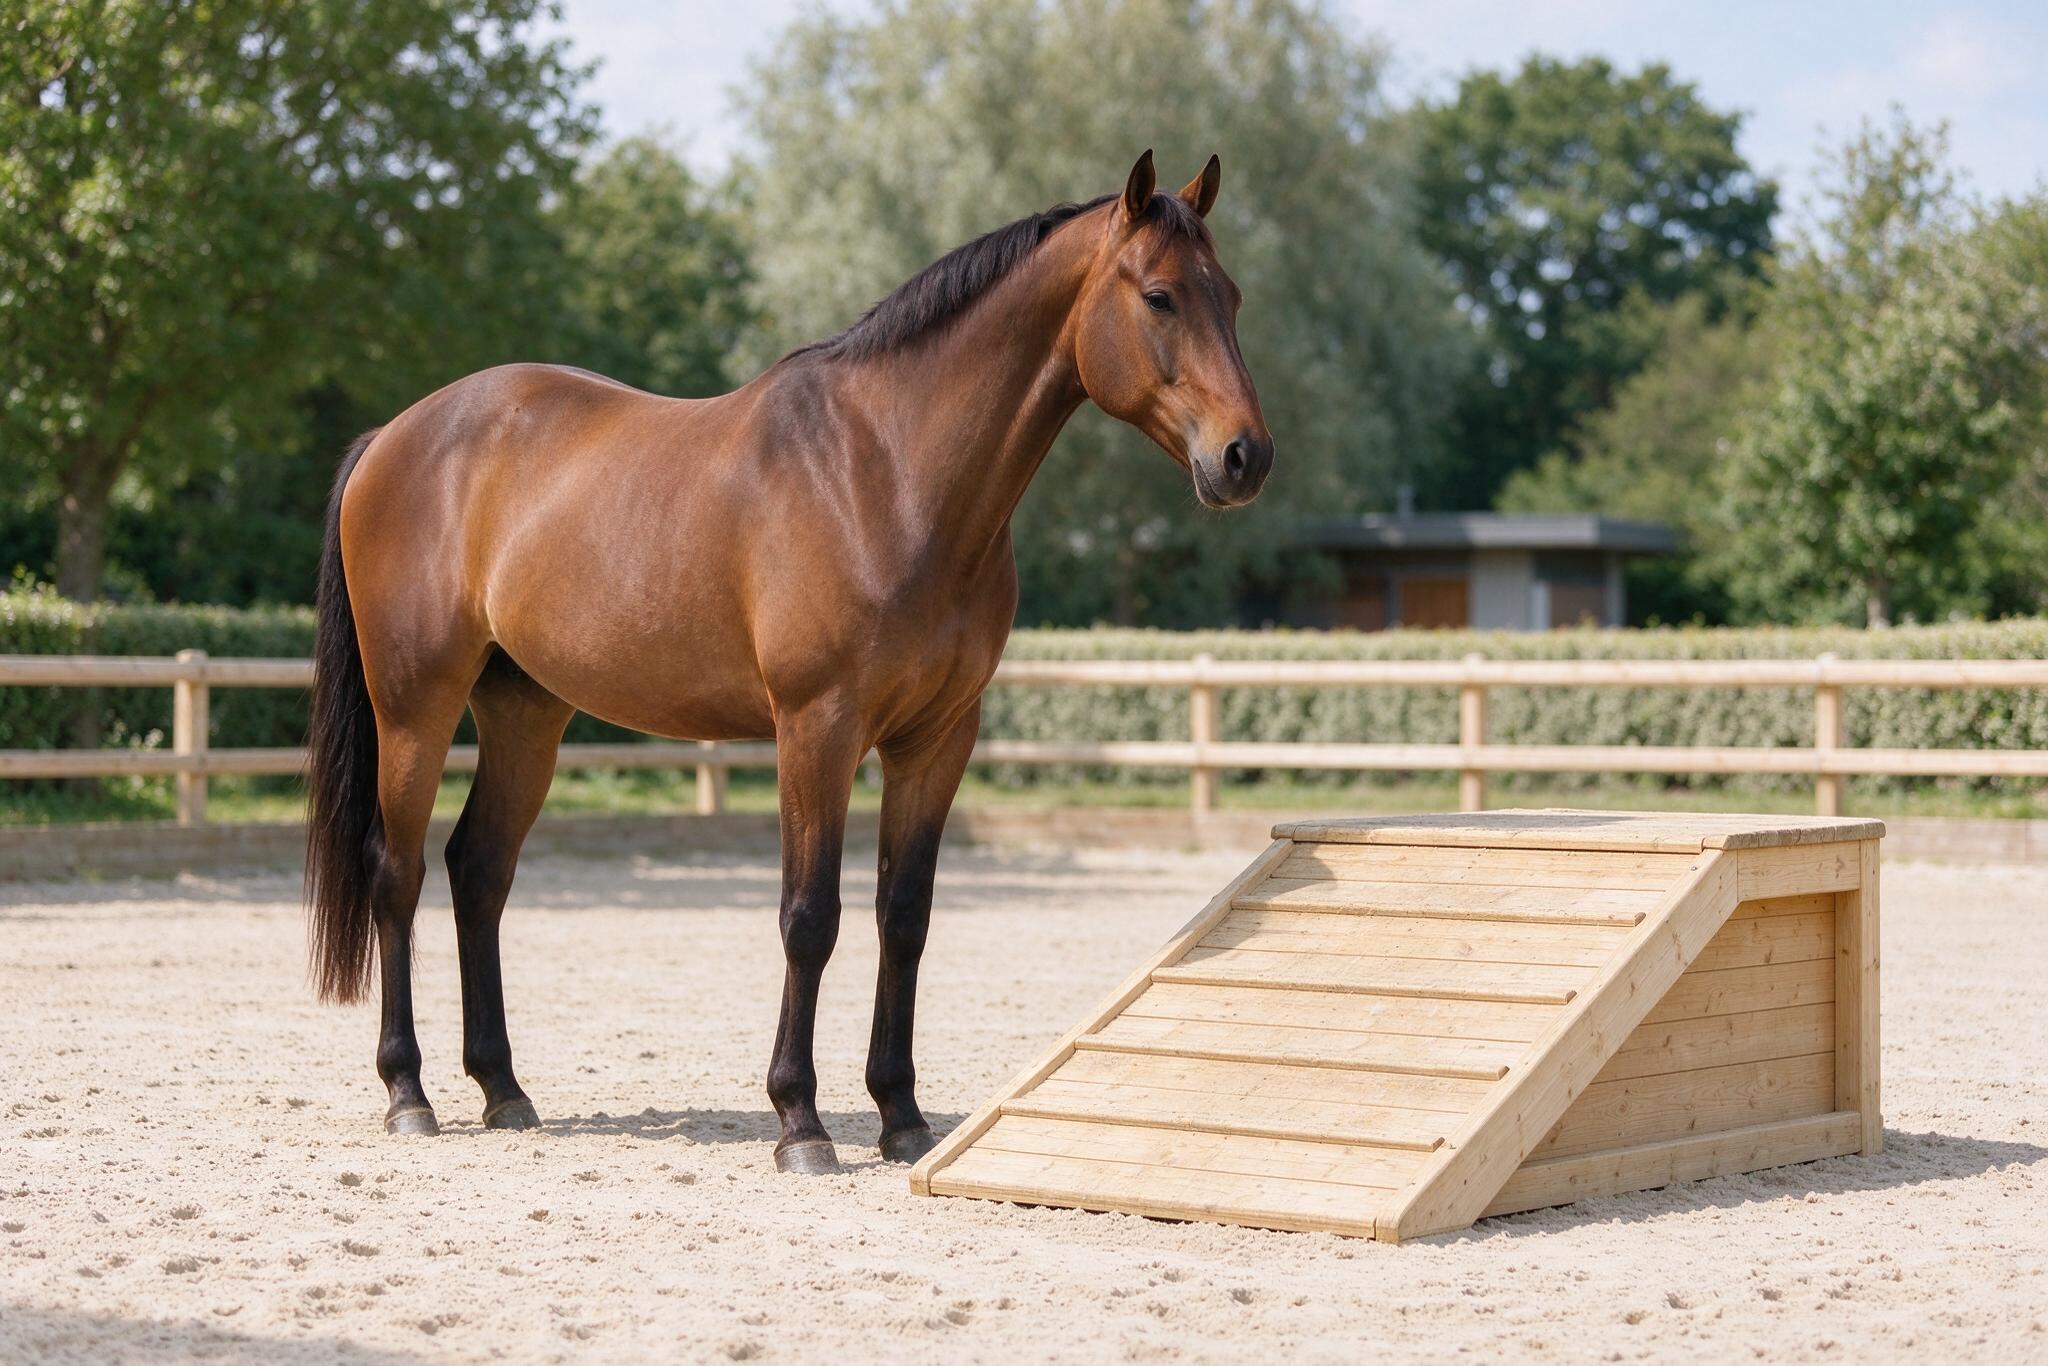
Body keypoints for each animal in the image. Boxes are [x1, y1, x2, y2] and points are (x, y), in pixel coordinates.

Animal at [303, 151, 1273, 1173]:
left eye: (1232, 296)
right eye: (1160, 296)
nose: (1245, 457)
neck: (888, 473)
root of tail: (393, 437)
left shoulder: (937, 740)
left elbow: (904, 917)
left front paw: (900, 1115)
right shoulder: (817, 728)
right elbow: (810, 918)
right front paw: (800, 1120)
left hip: (525, 711)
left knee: (479, 870)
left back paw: (502, 1088)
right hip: (415, 707)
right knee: (397, 872)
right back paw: (408, 1092)